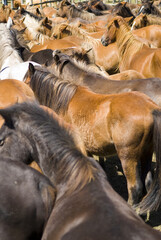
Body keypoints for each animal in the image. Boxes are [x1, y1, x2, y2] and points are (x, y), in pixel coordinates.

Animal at [23, 62, 161, 209]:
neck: (64, 101)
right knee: (147, 182)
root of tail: (150, 107)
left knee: (135, 189)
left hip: (128, 157)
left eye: (25, 81)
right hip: (146, 153)